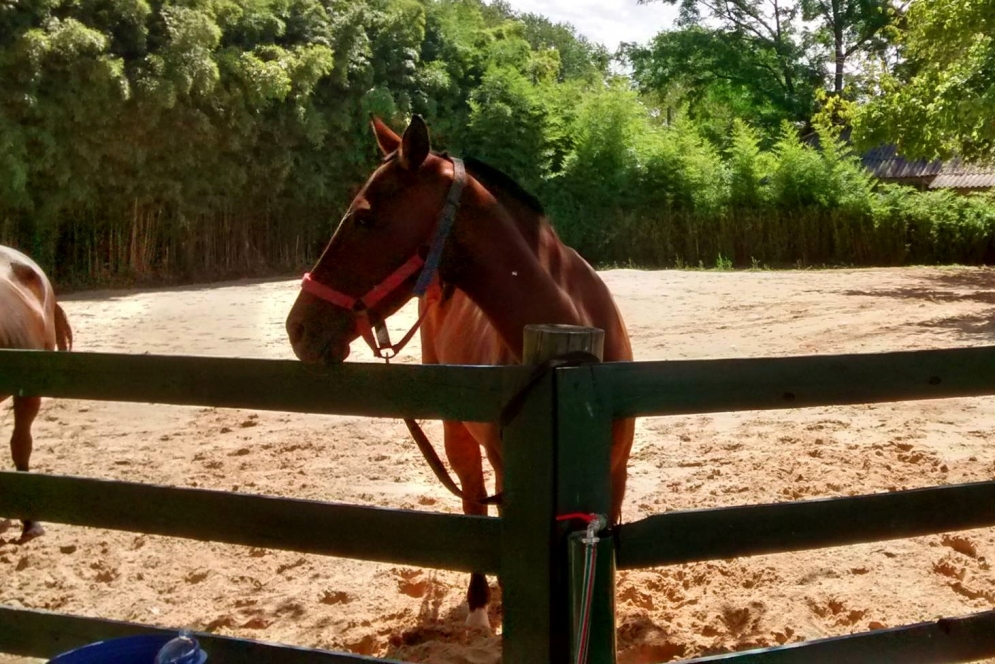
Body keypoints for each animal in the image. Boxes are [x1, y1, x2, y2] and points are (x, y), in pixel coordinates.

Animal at [284, 114, 636, 628]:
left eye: (365, 218)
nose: (298, 328)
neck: (574, 353)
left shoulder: (615, 472)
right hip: (459, 436)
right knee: (473, 502)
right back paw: (478, 604)